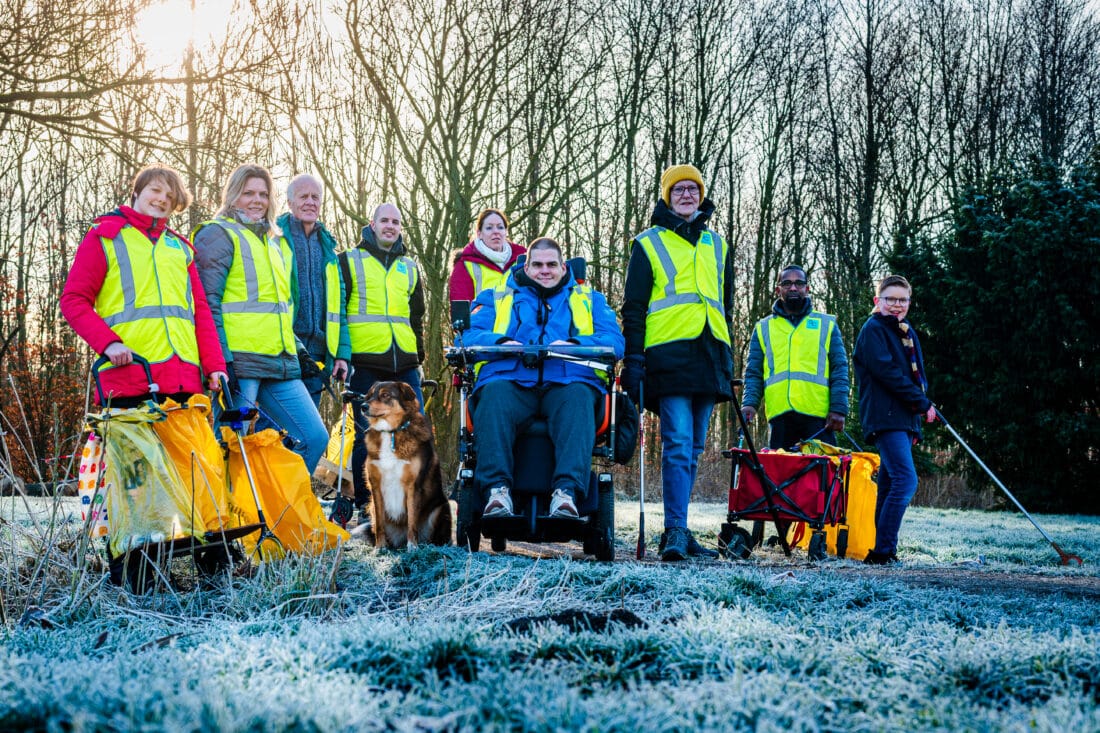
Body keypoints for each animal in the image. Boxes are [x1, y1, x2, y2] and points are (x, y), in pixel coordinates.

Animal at [358, 378, 448, 545]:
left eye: (385, 395)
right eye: (370, 395)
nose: (363, 406)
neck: (391, 432)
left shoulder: (413, 485)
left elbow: (412, 521)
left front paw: (413, 547)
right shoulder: (375, 486)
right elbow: (379, 525)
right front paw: (379, 547)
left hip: (442, 507)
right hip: (371, 509)